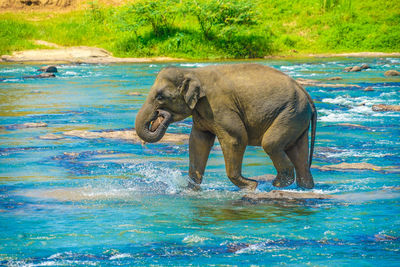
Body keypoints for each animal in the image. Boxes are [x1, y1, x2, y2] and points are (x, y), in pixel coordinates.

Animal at [136, 63, 318, 192]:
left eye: (160, 97)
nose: (159, 114)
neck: (193, 72)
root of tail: (307, 95)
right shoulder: (202, 112)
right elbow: (198, 141)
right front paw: (190, 190)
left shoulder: (218, 106)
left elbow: (236, 138)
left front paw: (251, 186)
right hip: (297, 117)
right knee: (297, 150)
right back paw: (304, 188)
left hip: (290, 113)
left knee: (271, 144)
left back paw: (278, 184)